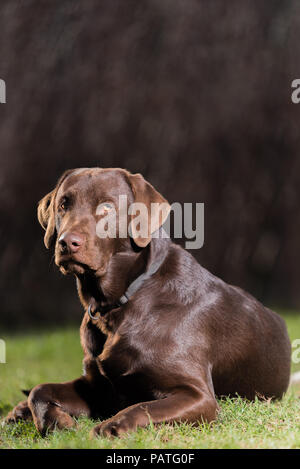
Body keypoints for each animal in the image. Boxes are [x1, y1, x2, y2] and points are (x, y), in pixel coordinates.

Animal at [4, 167, 290, 436]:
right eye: (63, 205)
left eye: (107, 207)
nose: (67, 243)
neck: (122, 299)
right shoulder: (99, 388)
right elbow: (39, 390)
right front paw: (57, 423)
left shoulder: (198, 395)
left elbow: (142, 407)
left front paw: (110, 427)